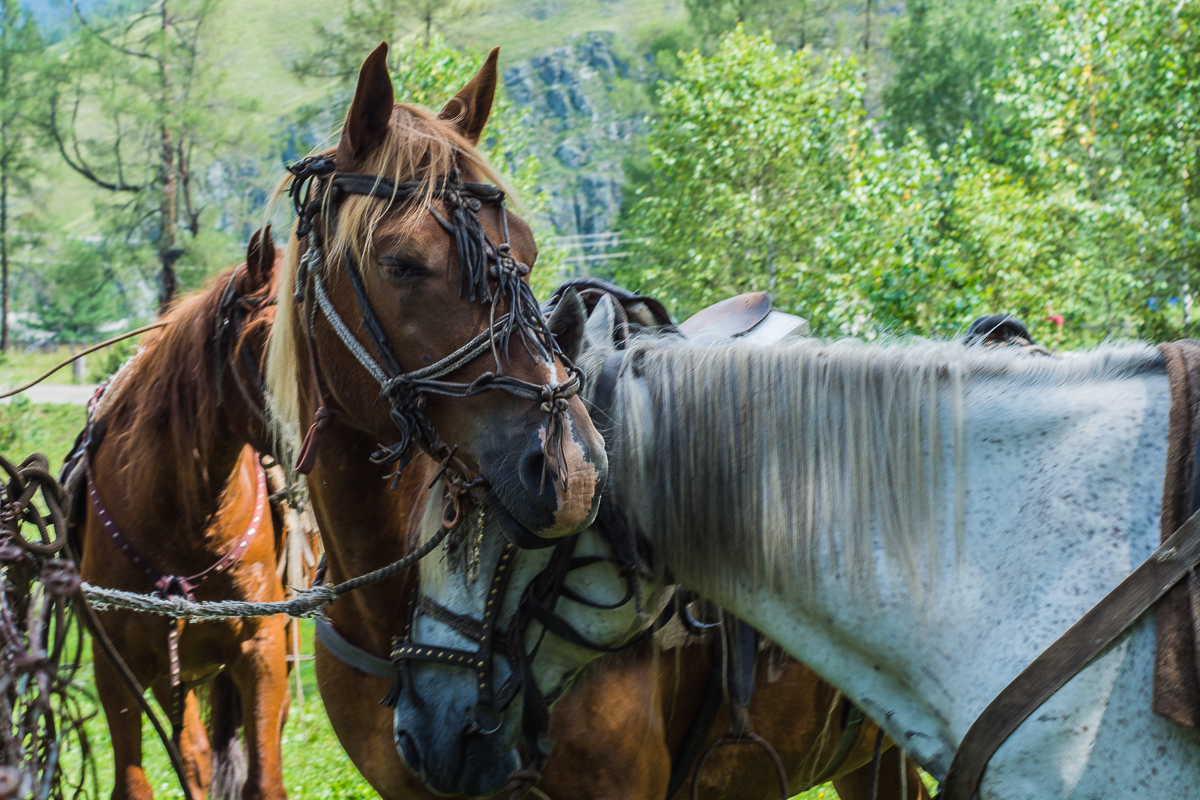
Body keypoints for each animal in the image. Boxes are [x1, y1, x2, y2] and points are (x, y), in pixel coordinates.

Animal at [73, 231, 292, 800]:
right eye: (265, 339)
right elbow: (136, 781)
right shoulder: (118, 665)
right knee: (192, 754)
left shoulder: (260, 649)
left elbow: (264, 780)